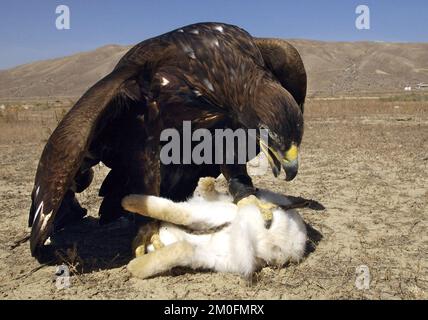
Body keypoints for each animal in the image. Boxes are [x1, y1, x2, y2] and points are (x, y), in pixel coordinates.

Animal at [122, 178, 306, 280]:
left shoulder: (208, 252)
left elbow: (180, 243)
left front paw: (135, 267)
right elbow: (177, 215)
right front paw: (130, 202)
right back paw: (206, 184)